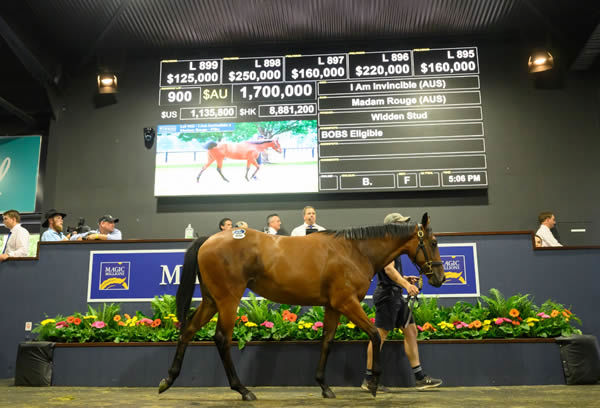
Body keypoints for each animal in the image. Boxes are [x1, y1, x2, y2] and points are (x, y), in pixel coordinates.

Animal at [159, 215, 446, 400]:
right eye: (433, 242)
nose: (440, 278)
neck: (354, 250)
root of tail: (209, 239)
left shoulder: (333, 307)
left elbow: (327, 341)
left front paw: (324, 386)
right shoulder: (347, 302)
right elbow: (375, 335)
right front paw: (374, 383)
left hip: (211, 301)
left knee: (188, 330)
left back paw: (168, 380)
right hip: (228, 300)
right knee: (221, 338)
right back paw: (243, 390)